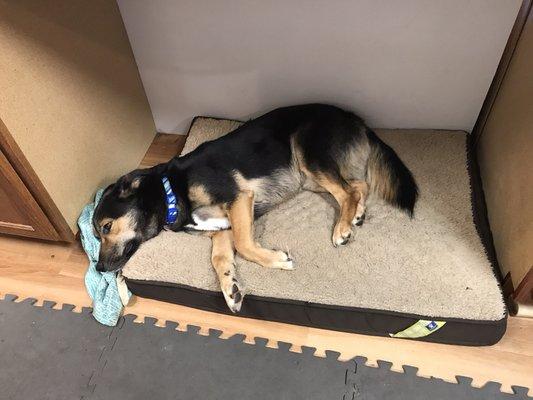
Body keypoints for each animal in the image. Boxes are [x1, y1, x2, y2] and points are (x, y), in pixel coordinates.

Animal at [92, 104, 416, 310]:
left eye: (107, 227)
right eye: (96, 235)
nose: (99, 267)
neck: (170, 191)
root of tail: (355, 119)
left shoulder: (239, 199)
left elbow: (245, 244)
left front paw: (278, 260)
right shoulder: (221, 228)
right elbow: (220, 259)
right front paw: (230, 290)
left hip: (307, 152)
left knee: (347, 191)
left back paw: (342, 229)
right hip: (308, 177)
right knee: (358, 186)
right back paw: (355, 216)